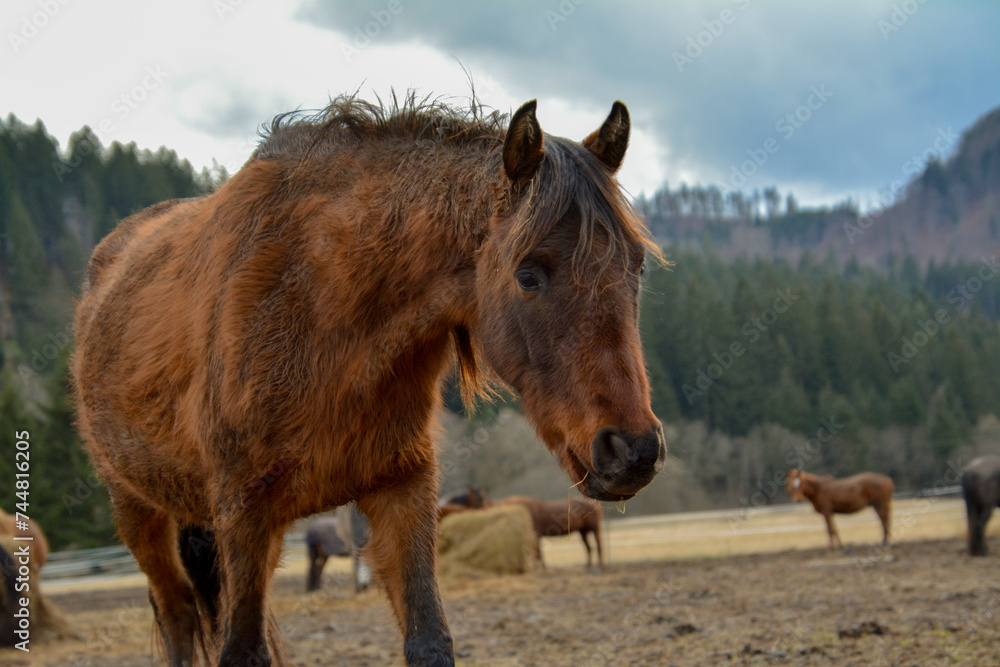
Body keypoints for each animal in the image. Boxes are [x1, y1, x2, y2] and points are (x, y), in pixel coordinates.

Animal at [72, 92, 665, 667]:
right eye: (528, 275)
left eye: (635, 266)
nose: (632, 450)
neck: (320, 309)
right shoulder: (243, 512)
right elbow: (241, 651)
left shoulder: (401, 490)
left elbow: (429, 641)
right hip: (140, 513)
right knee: (176, 614)